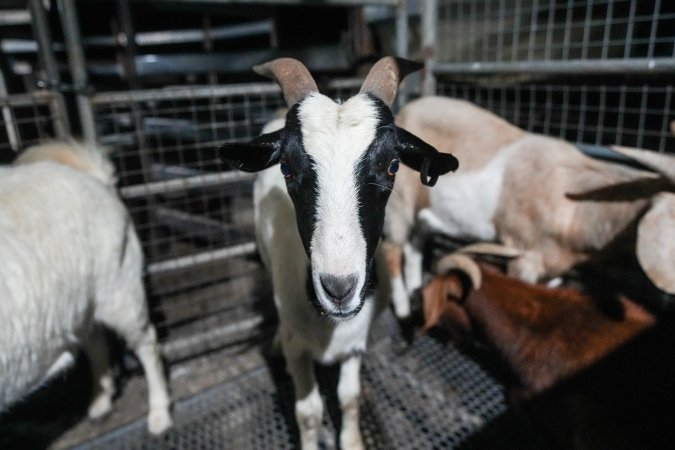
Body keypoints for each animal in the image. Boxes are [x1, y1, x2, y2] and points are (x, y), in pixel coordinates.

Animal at [0, 142, 173, 434]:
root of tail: (94, 177)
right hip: (77, 303)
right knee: (95, 340)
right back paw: (100, 403)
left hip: (118, 289)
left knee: (147, 341)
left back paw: (160, 414)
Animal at [219, 58, 456, 448]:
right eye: (286, 168)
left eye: (393, 165)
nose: (340, 288)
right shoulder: (298, 349)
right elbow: (308, 413)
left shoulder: (356, 345)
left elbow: (348, 398)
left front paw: (353, 440)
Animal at [386, 95, 675, 316]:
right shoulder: (523, 257)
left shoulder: (552, 268)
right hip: (399, 202)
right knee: (393, 247)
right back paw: (401, 307)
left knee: (414, 244)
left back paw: (415, 290)